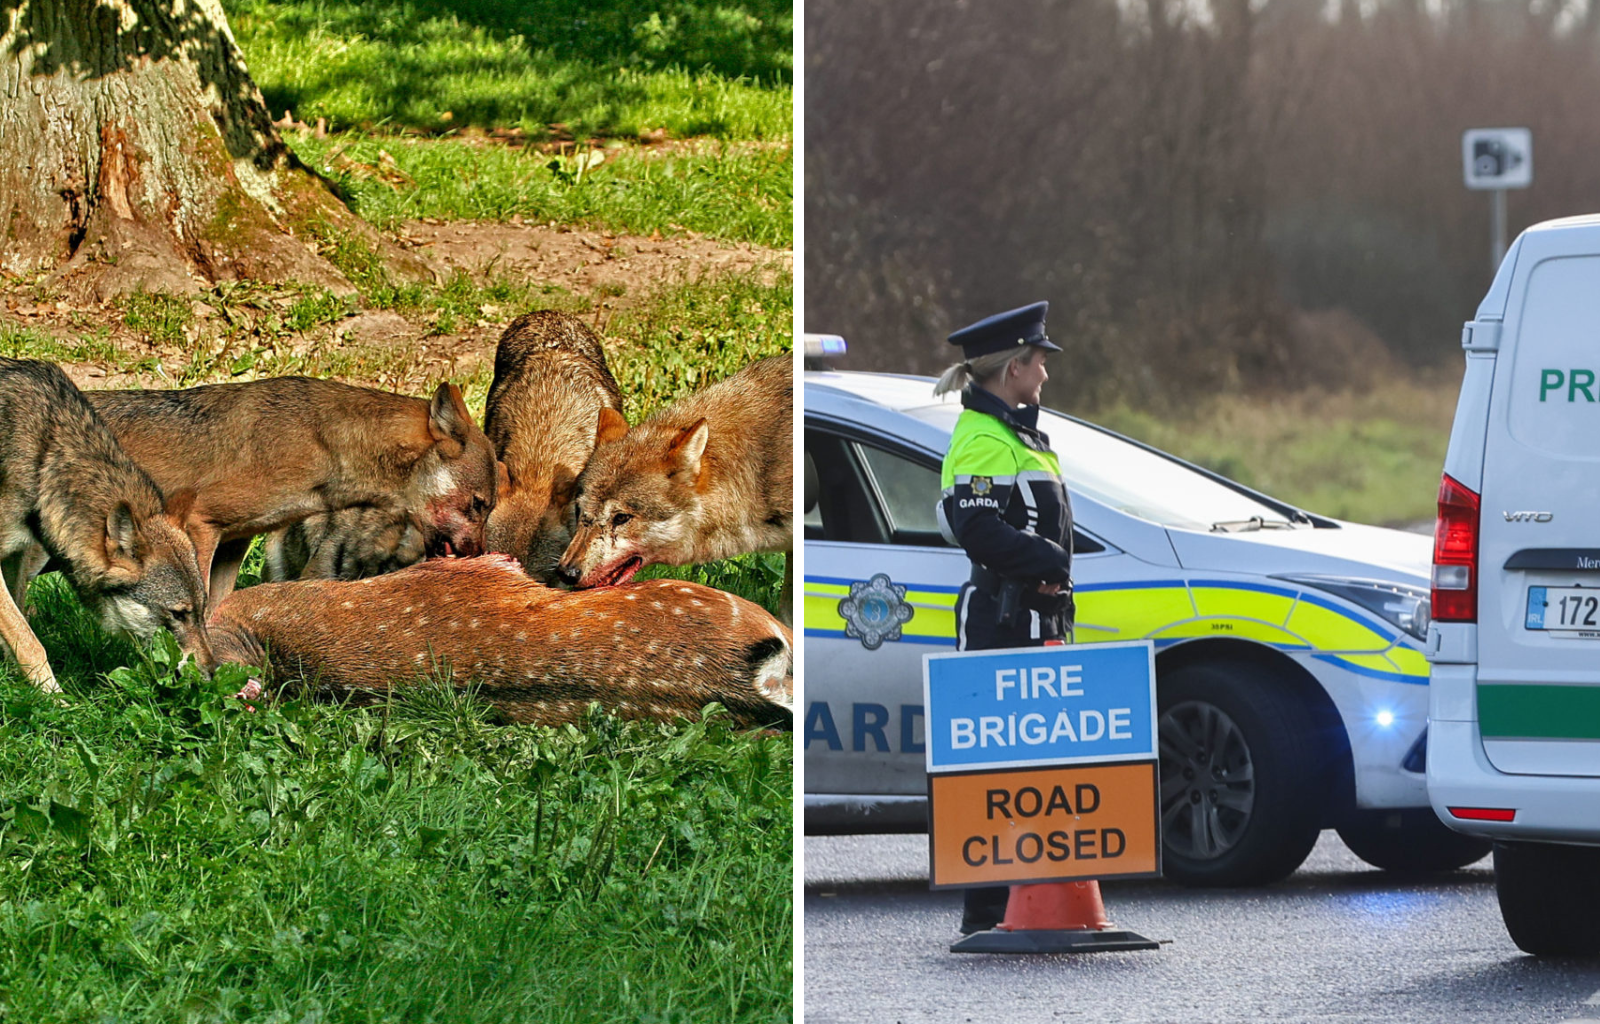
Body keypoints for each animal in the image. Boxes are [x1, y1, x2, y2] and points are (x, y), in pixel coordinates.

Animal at [0, 359, 214, 691]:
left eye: (202, 610)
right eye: (178, 614)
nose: (214, 670)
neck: (44, 459)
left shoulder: (17, 553)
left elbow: (19, 624)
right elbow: (29, 641)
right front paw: (54, 696)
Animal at [81, 377, 499, 606]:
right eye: (479, 505)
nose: (480, 554)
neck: (322, 443)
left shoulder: (234, 541)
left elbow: (217, 606)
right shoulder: (201, 526)